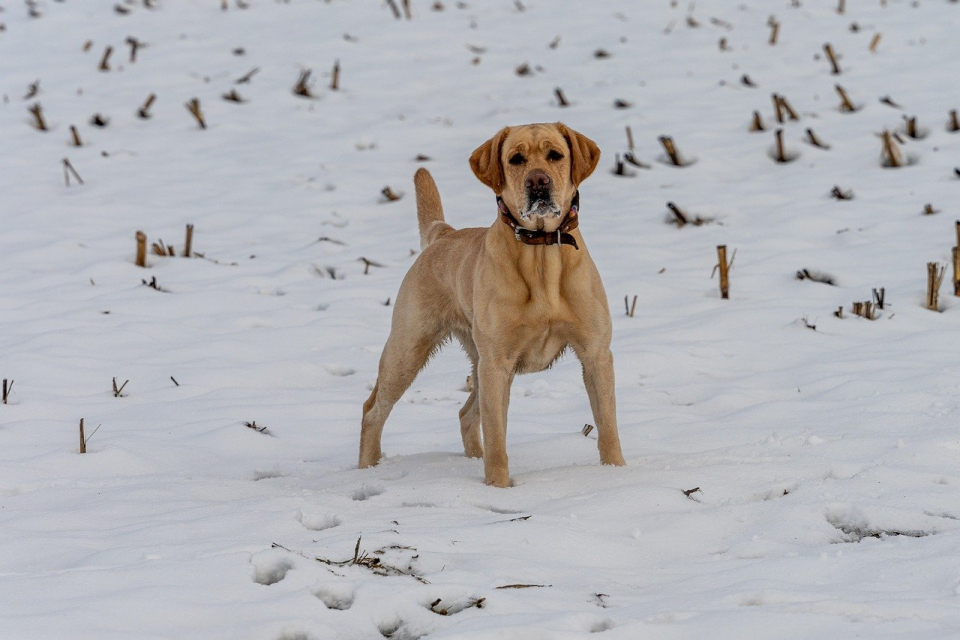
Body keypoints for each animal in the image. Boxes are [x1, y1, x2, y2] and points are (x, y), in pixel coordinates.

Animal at [358, 122, 624, 488]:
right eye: (516, 159)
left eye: (555, 155)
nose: (538, 181)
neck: (541, 253)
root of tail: (443, 233)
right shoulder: (497, 363)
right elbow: (498, 438)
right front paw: (498, 488)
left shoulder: (595, 353)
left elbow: (608, 428)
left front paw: (616, 474)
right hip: (408, 350)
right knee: (372, 410)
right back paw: (367, 471)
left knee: (466, 414)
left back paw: (472, 459)